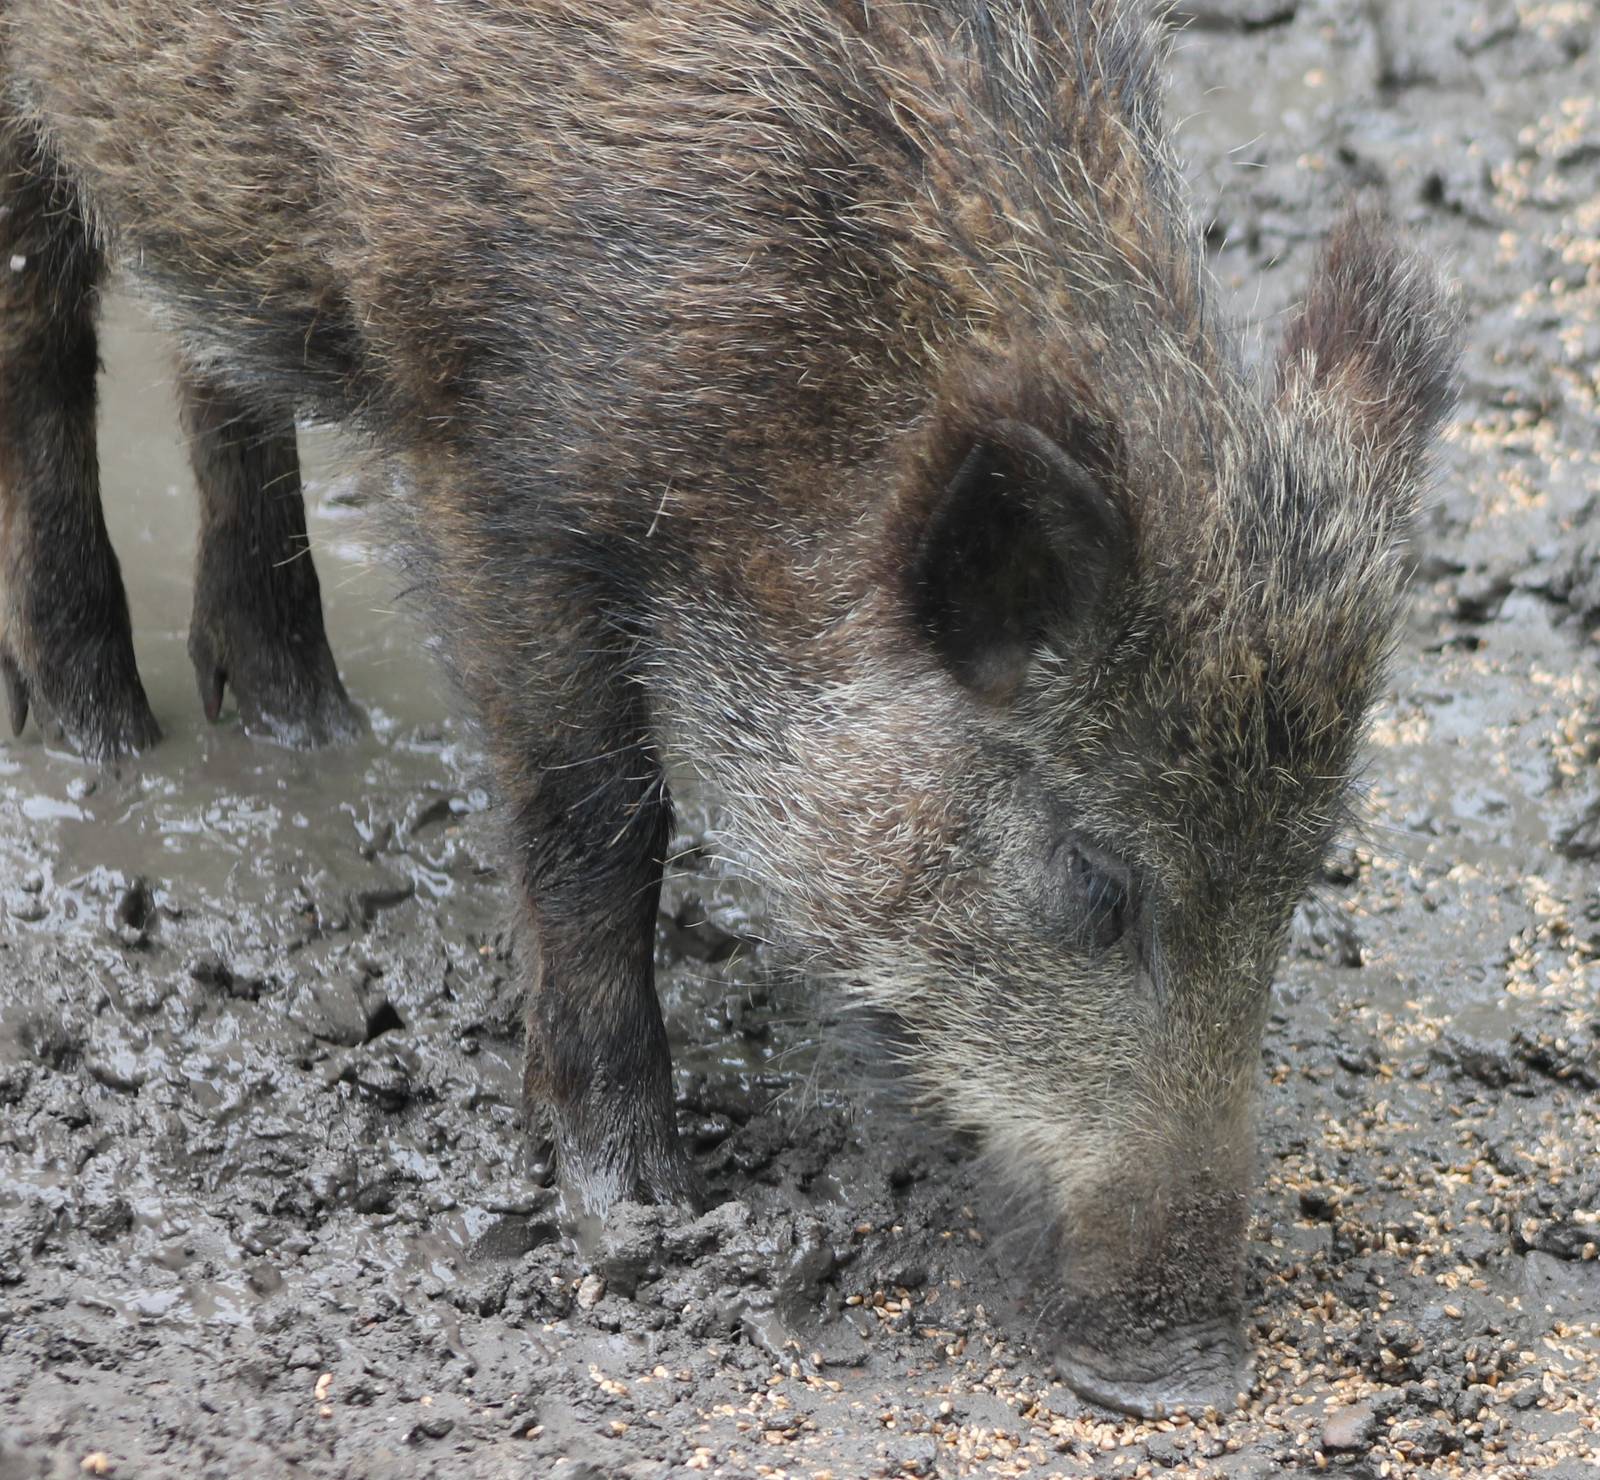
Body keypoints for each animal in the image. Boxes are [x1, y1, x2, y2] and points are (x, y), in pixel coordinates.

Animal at [0, 0, 1459, 1416]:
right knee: (46, 341)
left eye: (1301, 876)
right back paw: (97, 739)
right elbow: (597, 828)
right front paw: (640, 1217)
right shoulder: (500, 477)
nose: (1191, 1381)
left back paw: (303, 724)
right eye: (1093, 876)